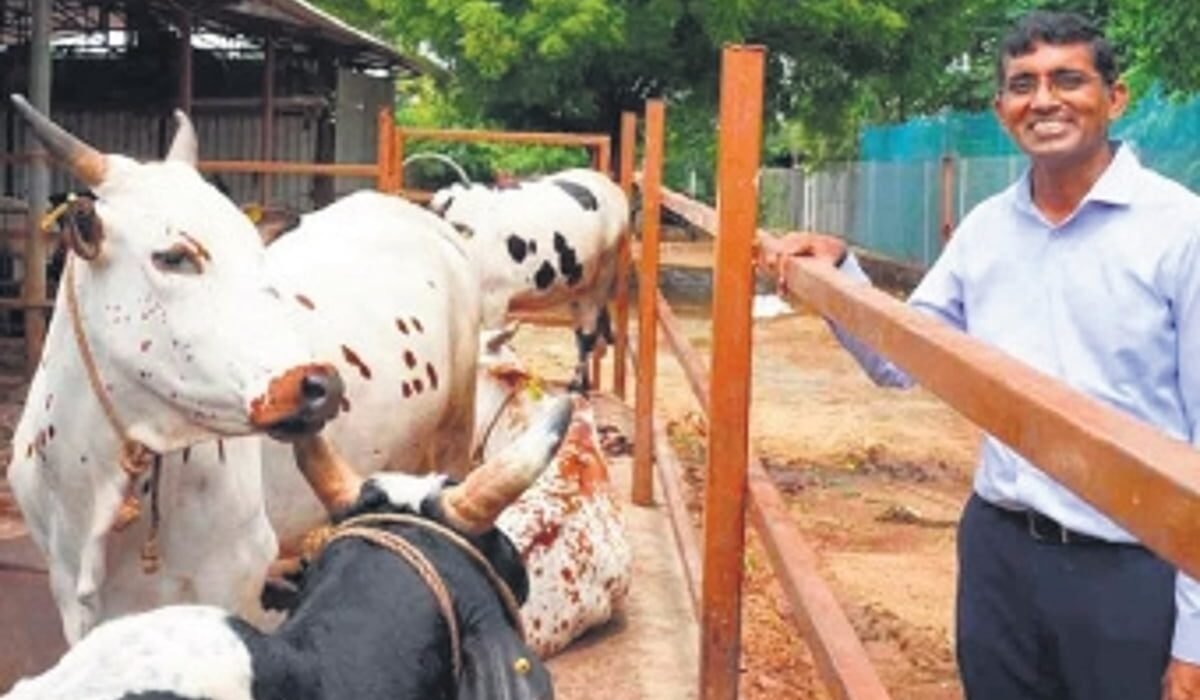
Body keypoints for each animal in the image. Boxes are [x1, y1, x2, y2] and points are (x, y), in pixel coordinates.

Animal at [429, 166, 628, 391]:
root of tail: (609, 185)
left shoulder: (494, 301)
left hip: (600, 280)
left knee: (588, 335)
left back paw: (577, 385)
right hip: (576, 287)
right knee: (580, 333)